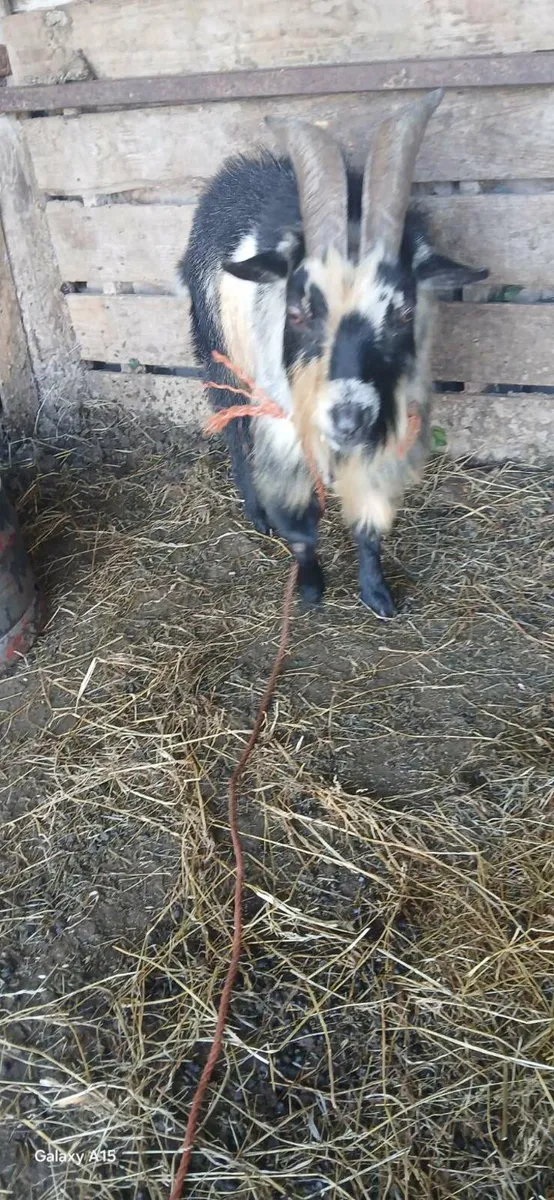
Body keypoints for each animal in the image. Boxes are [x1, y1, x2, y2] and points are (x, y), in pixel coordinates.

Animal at [179, 90, 488, 616]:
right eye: (298, 310)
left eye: (403, 312)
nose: (347, 418)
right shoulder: (285, 424)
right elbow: (299, 520)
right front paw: (308, 588)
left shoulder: (387, 426)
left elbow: (370, 517)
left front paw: (376, 592)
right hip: (221, 353)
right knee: (234, 428)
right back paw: (255, 511)